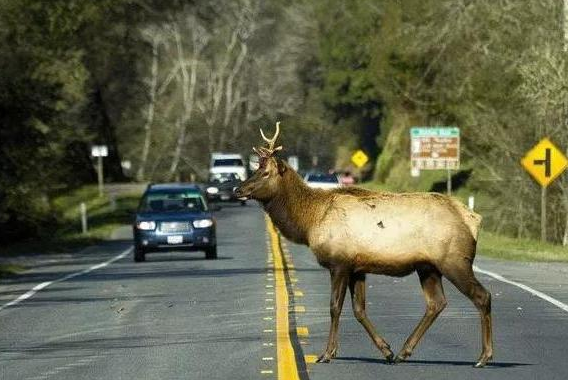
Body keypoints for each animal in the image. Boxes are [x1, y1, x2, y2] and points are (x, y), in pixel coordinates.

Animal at [235, 122, 492, 368]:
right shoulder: (357, 268)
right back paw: (403, 352)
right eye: (255, 168)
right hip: (428, 267)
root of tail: (473, 220)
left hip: (454, 260)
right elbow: (359, 310)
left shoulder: (339, 263)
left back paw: (484, 356)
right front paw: (386, 350)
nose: (238, 189)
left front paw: (326, 354)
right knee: (436, 303)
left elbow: (334, 307)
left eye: (265, 172)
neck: (309, 221)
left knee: (482, 295)